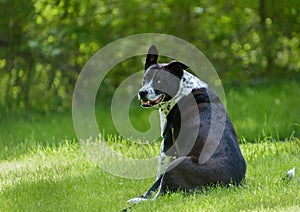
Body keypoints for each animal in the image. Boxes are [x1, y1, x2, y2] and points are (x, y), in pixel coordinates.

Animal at [126, 45, 246, 205]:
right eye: (144, 79)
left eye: (160, 81)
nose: (142, 92)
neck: (182, 89)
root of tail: (230, 184)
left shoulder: (167, 143)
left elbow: (158, 177)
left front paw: (144, 195)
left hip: (178, 163)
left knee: (160, 195)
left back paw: (138, 200)